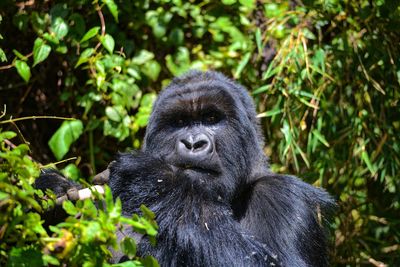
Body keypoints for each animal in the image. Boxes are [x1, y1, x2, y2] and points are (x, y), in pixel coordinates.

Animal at [36, 71, 334, 267]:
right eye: (179, 122)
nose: (193, 143)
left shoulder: (283, 196)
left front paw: (155, 181)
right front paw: (52, 190)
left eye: (211, 118)